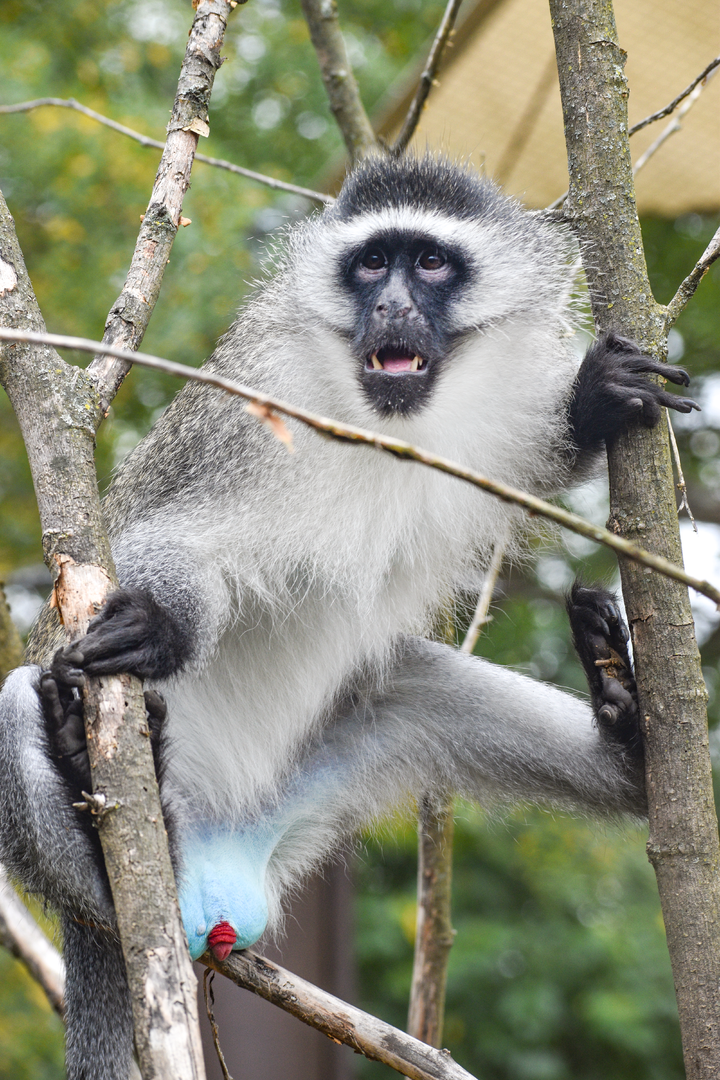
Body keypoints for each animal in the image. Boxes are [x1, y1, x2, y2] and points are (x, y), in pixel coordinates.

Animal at [0, 154, 697, 1080]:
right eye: (371, 264)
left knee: (412, 687)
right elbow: (164, 543)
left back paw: (624, 732)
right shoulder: (253, 413)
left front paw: (594, 399)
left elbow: (543, 452)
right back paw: (99, 799)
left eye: (429, 262)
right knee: (18, 701)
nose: (391, 306)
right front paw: (154, 622)